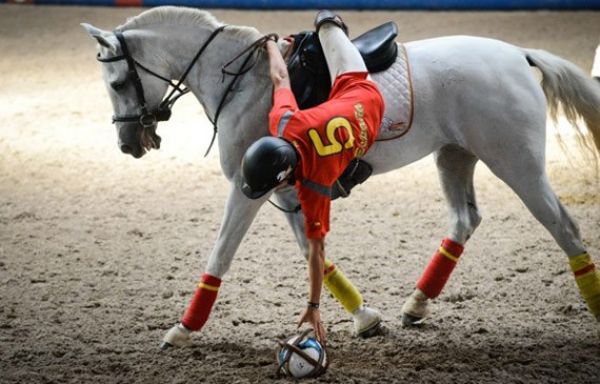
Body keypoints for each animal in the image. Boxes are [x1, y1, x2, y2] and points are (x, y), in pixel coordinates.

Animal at [83, 6, 600, 348]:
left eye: (117, 83)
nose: (129, 143)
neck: (241, 81)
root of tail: (518, 54)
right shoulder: (289, 190)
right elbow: (315, 255)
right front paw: (366, 317)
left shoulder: (248, 190)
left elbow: (221, 255)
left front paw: (183, 328)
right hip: (455, 156)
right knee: (464, 220)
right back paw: (416, 304)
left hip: (516, 163)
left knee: (564, 227)